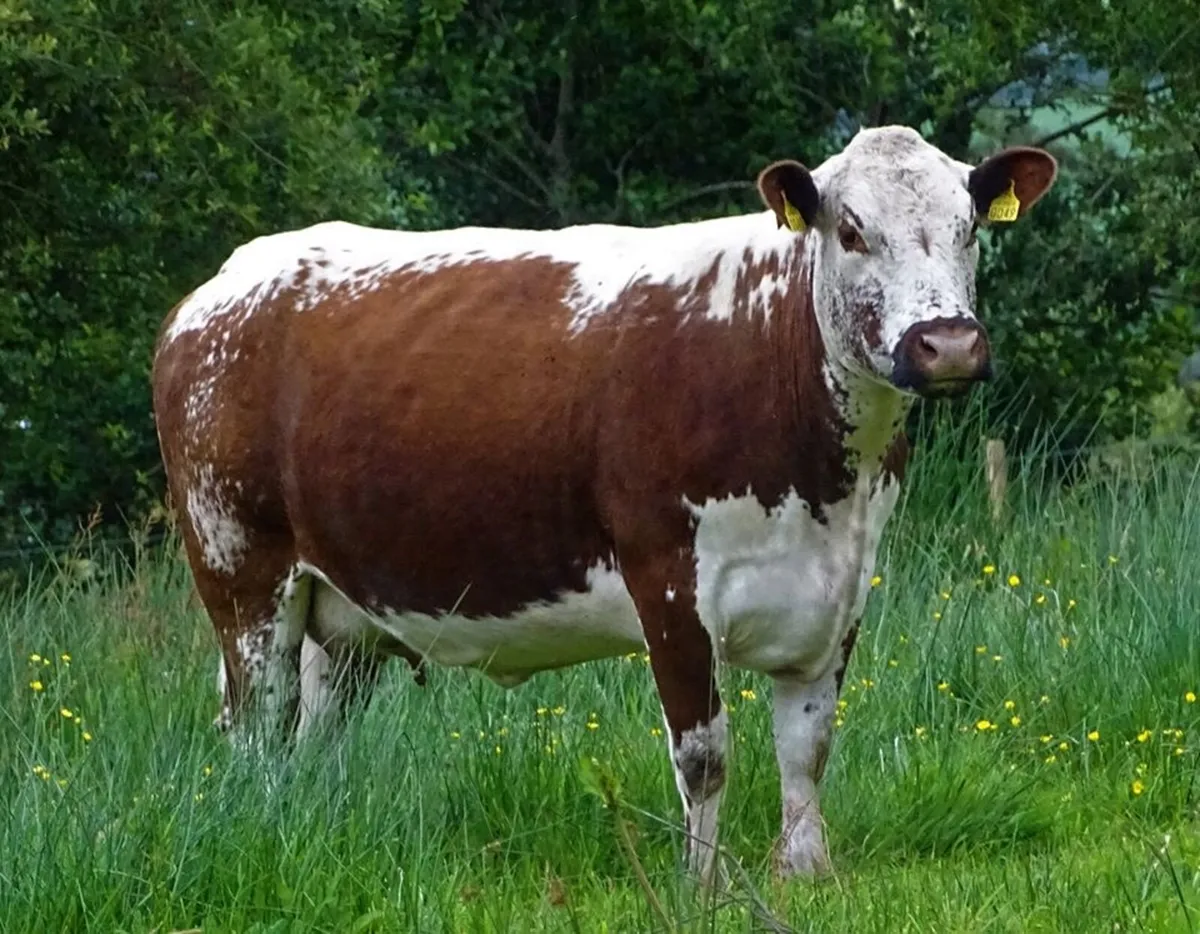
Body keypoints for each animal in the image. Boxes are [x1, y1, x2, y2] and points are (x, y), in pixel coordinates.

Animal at [152, 125, 1057, 879]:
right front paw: (702, 888)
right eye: (852, 230)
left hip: (340, 607)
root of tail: (219, 288)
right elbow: (705, 755)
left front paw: (807, 875)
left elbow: (808, 745)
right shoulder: (669, 580)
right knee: (256, 729)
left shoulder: (839, 587)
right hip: (241, 571)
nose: (947, 345)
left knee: (316, 737)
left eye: (971, 228)